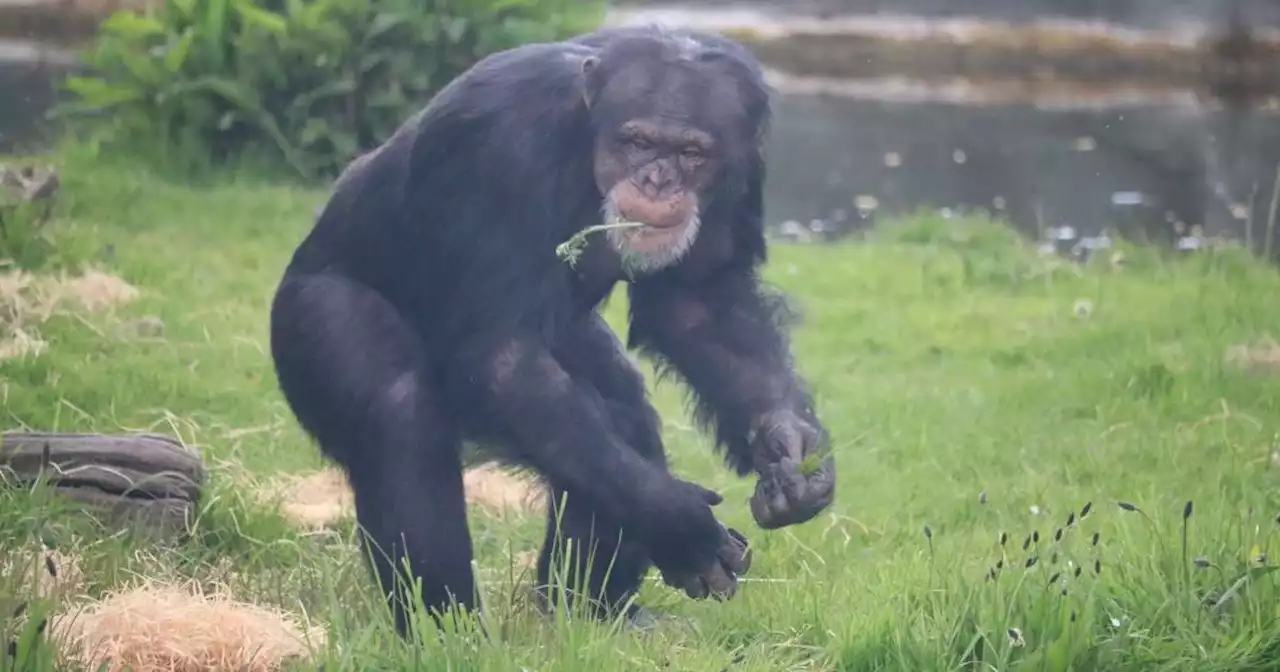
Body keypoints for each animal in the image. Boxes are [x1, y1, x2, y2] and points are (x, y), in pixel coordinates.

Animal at [264, 23, 834, 632]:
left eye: (691, 153)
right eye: (638, 142)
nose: (657, 181)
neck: (584, 136)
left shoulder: (744, 162)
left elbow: (702, 304)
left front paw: (791, 447)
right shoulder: (500, 143)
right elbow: (503, 355)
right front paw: (682, 524)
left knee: (616, 419)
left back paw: (592, 610)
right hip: (308, 313)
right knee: (395, 406)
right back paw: (448, 627)